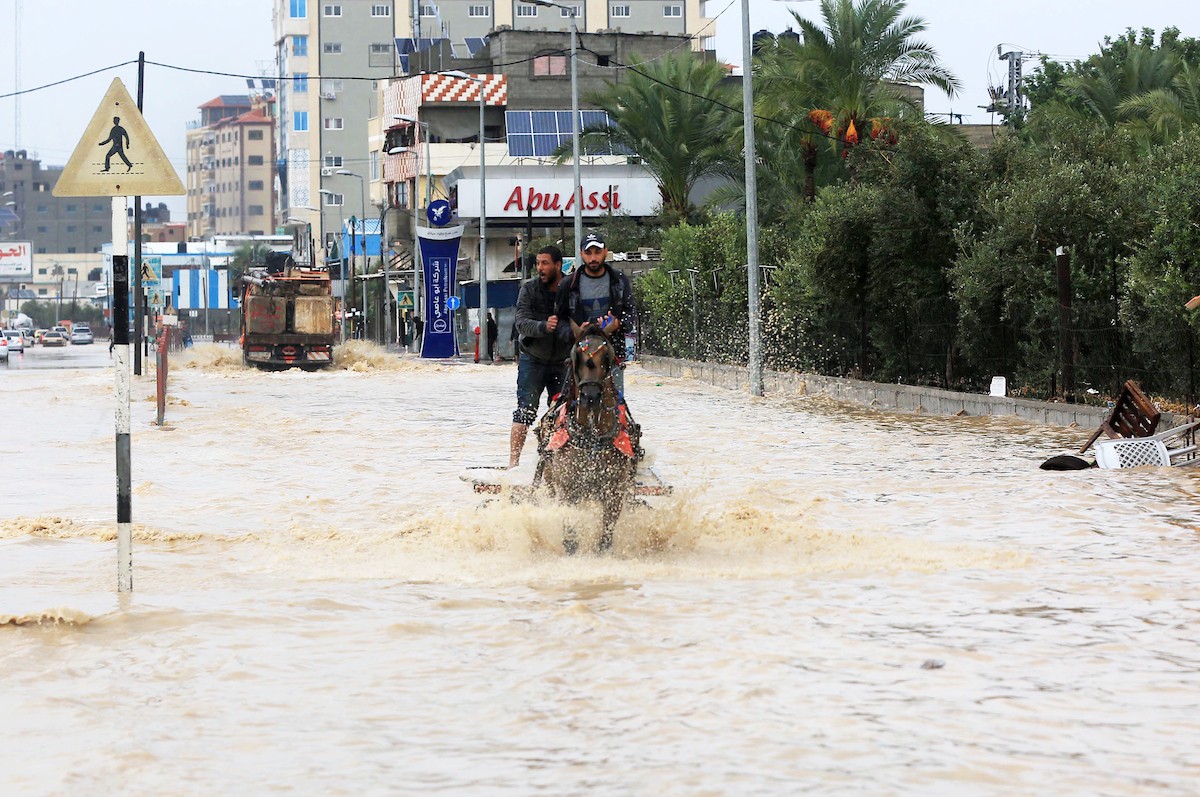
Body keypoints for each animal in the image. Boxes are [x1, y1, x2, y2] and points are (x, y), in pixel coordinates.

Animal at [532, 316, 638, 554]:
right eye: (576, 357)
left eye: (607, 356)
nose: (591, 395)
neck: (591, 439)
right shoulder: (567, 489)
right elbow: (570, 533)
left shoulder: (614, 491)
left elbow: (606, 535)